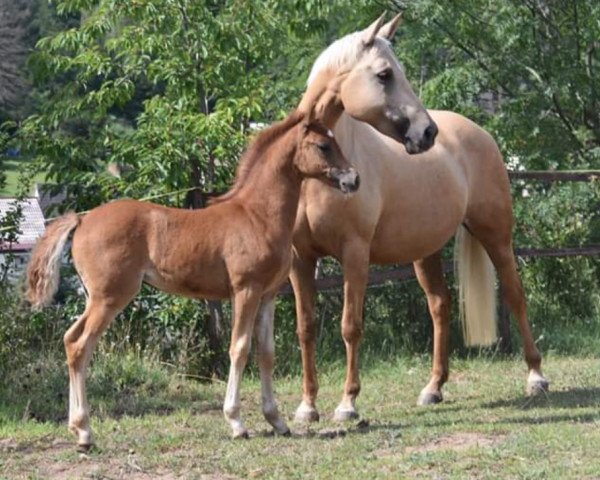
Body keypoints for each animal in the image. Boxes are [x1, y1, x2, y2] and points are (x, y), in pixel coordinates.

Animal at [25, 110, 358, 448]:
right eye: (323, 146)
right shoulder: (245, 290)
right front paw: (236, 422)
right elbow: (239, 348)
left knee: (70, 340)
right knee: (81, 346)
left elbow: (266, 352)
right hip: (110, 297)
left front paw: (276, 420)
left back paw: (77, 427)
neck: (257, 216)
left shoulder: (268, 294)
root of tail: (82, 219)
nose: (353, 179)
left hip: (95, 298)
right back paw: (85, 433)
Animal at [284, 13, 552, 422]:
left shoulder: (354, 255)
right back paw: (433, 388)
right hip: (426, 251)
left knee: (514, 294)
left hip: (496, 235)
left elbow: (350, 326)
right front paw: (307, 406)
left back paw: (536, 377)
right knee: (440, 305)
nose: (426, 133)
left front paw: (347, 404)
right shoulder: (301, 260)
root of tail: (479, 132)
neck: (322, 173)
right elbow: (306, 329)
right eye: (384, 74)